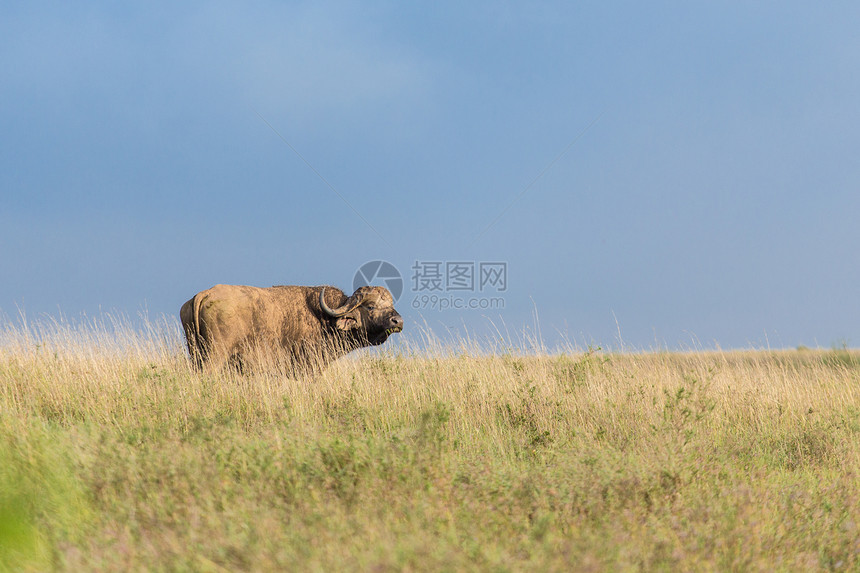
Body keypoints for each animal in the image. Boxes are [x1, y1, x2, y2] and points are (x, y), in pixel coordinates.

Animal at [179, 284, 406, 374]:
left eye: (390, 303)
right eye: (371, 306)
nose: (398, 321)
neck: (325, 319)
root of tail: (205, 294)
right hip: (214, 357)